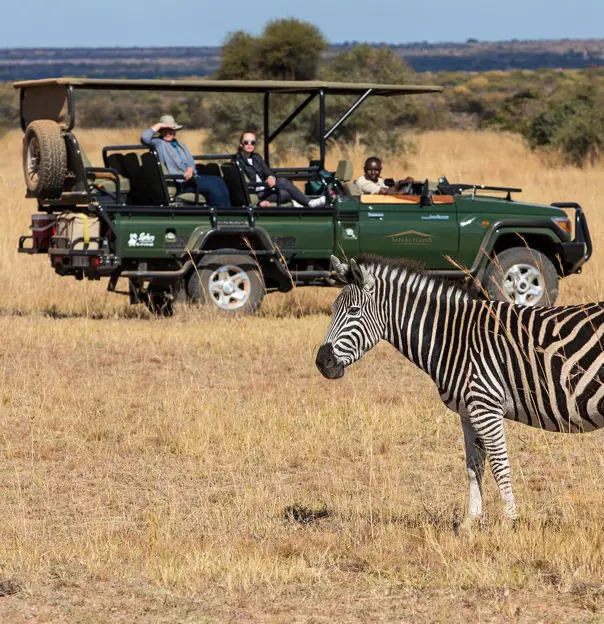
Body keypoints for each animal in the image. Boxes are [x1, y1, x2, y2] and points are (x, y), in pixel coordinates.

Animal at [314, 254, 604, 520]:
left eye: (353, 311)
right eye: (332, 309)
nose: (322, 361)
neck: (455, 337)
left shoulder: (486, 406)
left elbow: (499, 465)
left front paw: (510, 522)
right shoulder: (468, 412)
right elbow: (474, 467)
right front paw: (471, 523)